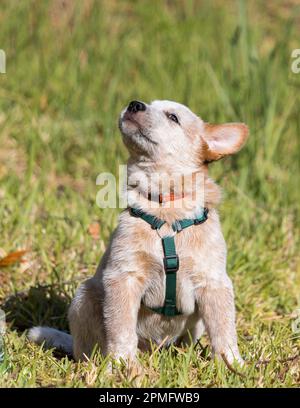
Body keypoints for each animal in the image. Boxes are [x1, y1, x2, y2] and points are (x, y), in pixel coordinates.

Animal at [28, 99, 248, 366]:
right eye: (148, 104)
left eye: (173, 117)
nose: (134, 104)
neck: (165, 210)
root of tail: (154, 348)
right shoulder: (124, 276)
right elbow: (121, 328)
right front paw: (123, 365)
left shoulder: (213, 281)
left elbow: (223, 328)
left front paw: (231, 364)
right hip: (84, 296)